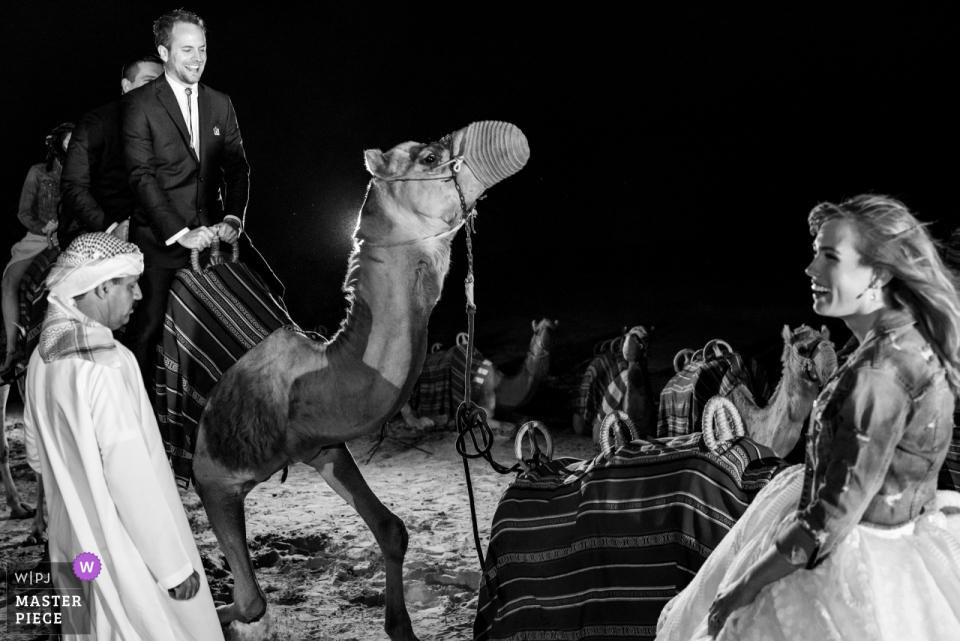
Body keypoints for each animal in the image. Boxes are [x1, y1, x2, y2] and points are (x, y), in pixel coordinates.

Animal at [190, 122, 528, 636]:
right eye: (429, 158)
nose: (509, 137)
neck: (303, 377)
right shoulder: (212, 475)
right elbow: (248, 601)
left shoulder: (320, 445)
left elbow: (392, 529)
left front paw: (400, 626)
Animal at [402, 318, 560, 432]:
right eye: (537, 331)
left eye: (553, 331)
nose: (545, 344)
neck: (500, 385)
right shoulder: (483, 405)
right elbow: (508, 425)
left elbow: (525, 417)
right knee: (407, 412)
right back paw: (426, 422)